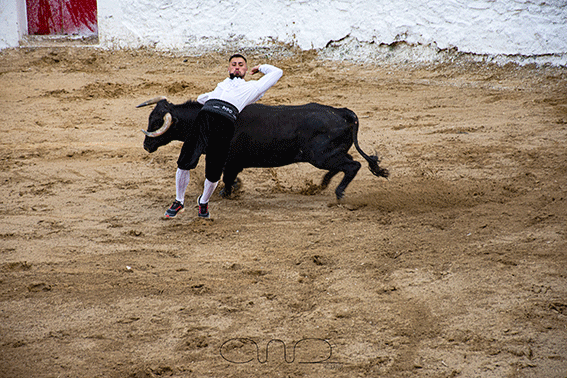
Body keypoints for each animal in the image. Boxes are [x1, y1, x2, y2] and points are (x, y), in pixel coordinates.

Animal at [138, 96, 388, 199]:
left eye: (157, 122)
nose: (146, 145)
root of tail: (342, 112)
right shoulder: (232, 163)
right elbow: (229, 178)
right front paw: (234, 189)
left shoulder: (229, 161)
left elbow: (226, 178)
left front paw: (228, 193)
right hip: (329, 154)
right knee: (345, 165)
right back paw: (322, 185)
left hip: (321, 156)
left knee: (352, 166)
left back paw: (338, 193)